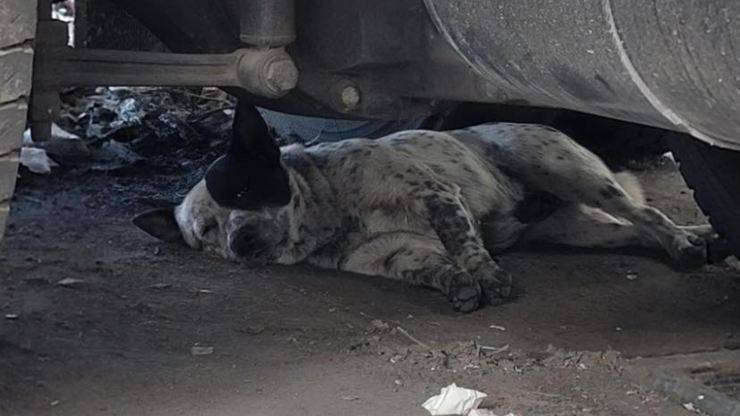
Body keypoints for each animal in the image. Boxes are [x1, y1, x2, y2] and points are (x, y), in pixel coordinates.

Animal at [133, 104, 712, 312]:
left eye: (243, 192)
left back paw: (685, 242)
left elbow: (464, 243)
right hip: (578, 229)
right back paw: (698, 237)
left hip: (569, 171)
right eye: (206, 231)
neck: (333, 212)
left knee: (648, 215)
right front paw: (459, 285)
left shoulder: (434, 195)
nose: (240, 241)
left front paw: (486, 276)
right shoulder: (393, 254)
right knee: (635, 230)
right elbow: (435, 267)